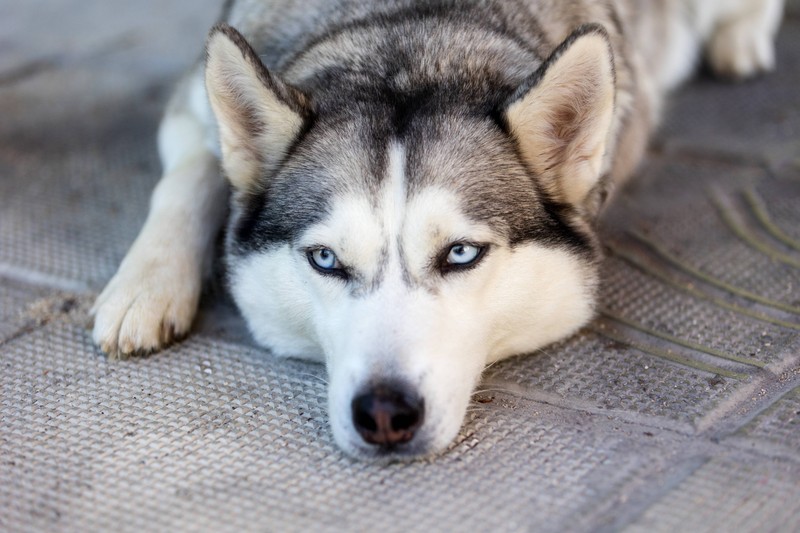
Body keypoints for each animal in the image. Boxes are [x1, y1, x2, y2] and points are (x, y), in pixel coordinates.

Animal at [90, 0, 784, 458]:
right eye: (325, 260)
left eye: (460, 254)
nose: (384, 414)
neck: (411, 38)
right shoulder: (189, 109)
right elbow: (186, 179)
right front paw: (144, 286)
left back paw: (740, 39)